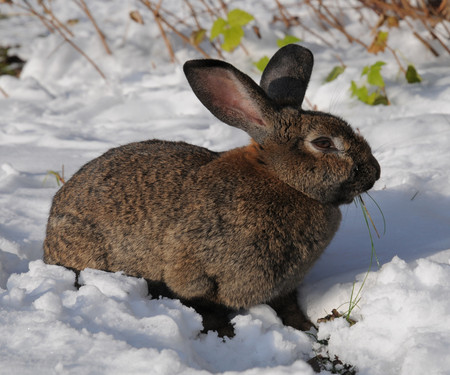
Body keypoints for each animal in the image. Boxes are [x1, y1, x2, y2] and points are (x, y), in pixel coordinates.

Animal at [43, 44, 380, 338]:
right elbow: (203, 305)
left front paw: (306, 328)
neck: (283, 180)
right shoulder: (192, 270)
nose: (375, 173)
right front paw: (225, 334)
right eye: (323, 143)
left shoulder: (284, 286)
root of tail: (49, 236)